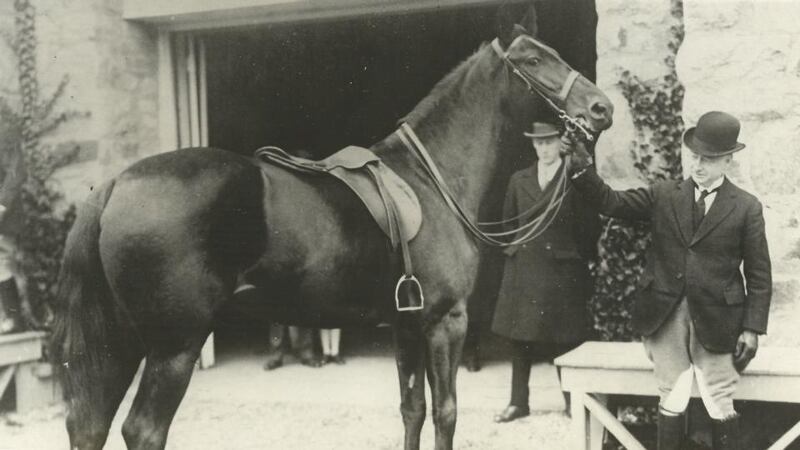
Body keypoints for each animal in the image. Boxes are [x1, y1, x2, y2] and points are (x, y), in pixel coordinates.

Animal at [50, 11, 612, 450]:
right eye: (534, 61)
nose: (601, 108)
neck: (430, 175)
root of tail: (116, 183)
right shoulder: (445, 322)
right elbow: (447, 412)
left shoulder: (406, 325)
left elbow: (412, 409)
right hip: (174, 347)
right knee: (143, 430)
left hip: (121, 341)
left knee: (89, 425)